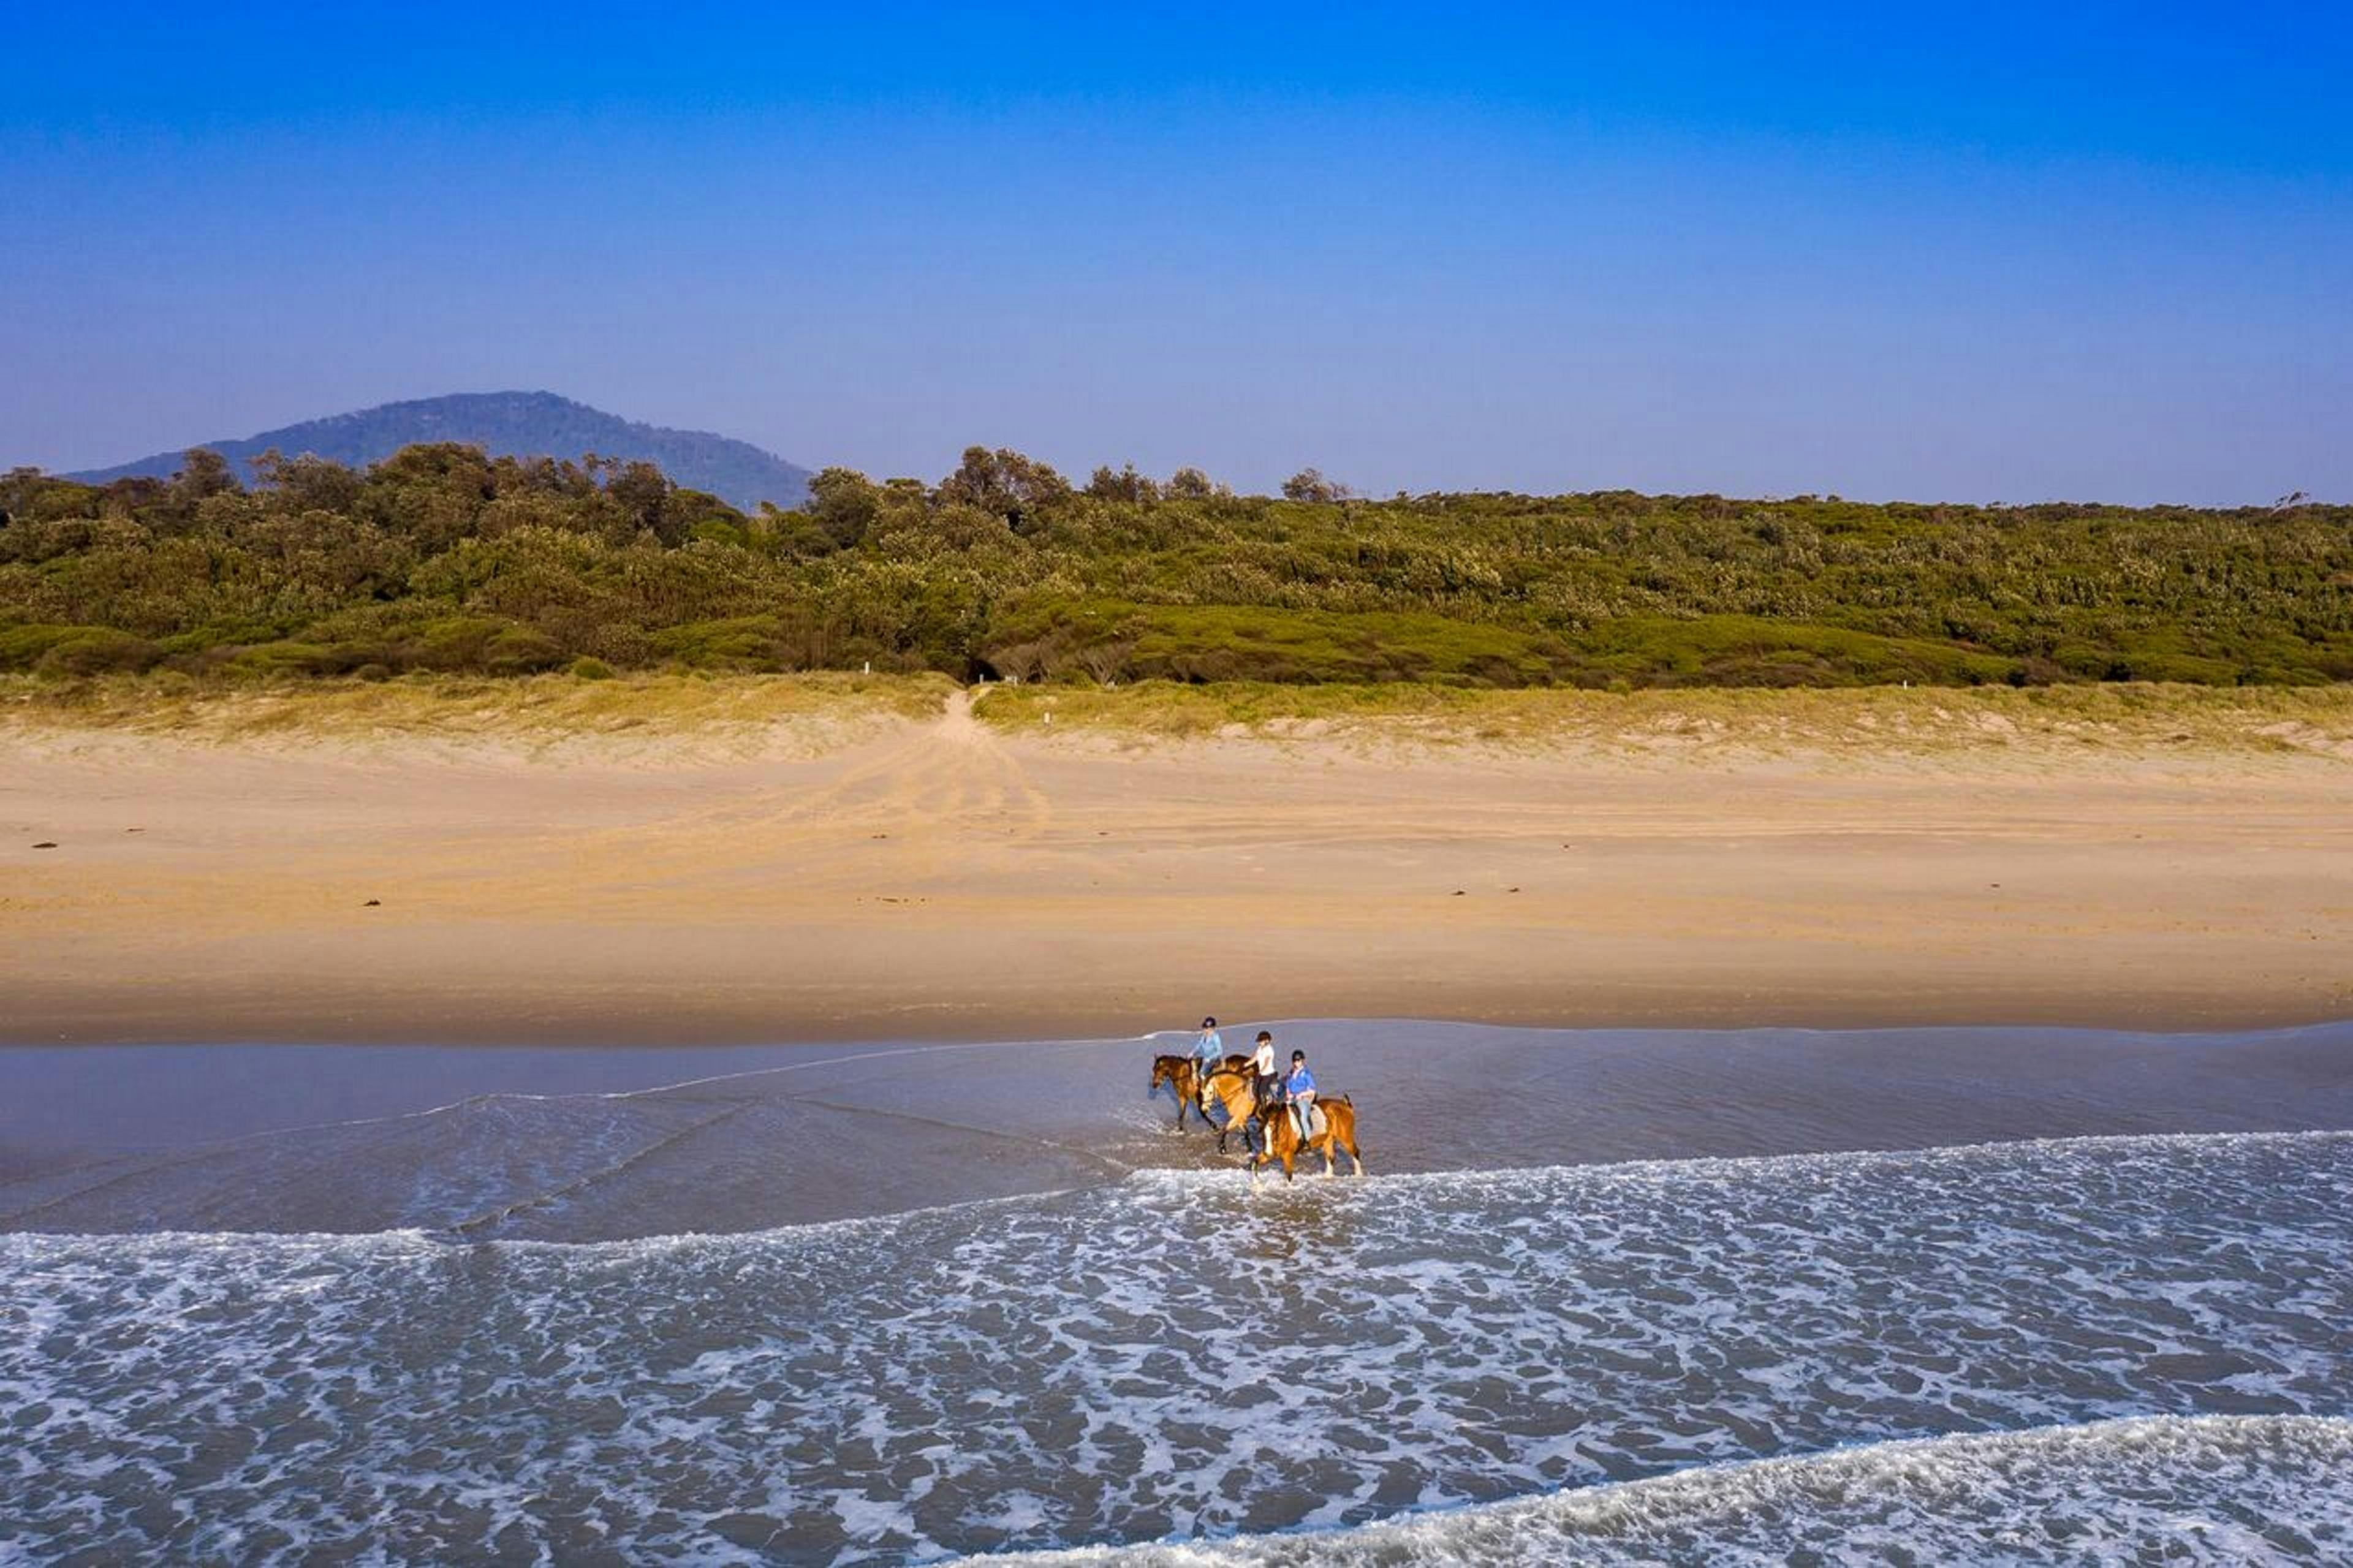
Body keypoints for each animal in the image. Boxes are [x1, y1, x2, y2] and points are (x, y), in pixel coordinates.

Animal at [1251, 1093, 1366, 1180]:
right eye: (1261, 1124)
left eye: (1274, 1126)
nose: (1268, 1150)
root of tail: (1346, 1105)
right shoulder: (1268, 1155)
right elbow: (1254, 1164)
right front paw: (1258, 1187)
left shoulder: (1288, 1155)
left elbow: (1289, 1175)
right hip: (1327, 1140)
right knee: (1331, 1157)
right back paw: (1327, 1177)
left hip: (1346, 1138)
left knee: (1355, 1152)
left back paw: (1359, 1175)